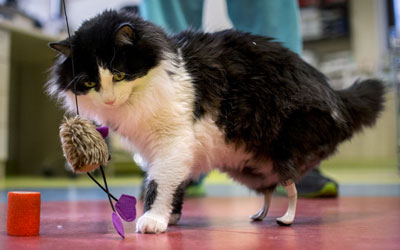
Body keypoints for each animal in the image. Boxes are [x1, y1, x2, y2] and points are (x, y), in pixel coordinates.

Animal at [46, 9, 384, 232]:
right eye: (90, 83)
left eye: (118, 75)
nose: (109, 100)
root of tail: (336, 95)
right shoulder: (158, 151)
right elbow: (172, 183)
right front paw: (172, 216)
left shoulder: (173, 143)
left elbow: (159, 182)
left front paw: (153, 220)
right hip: (251, 167)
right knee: (268, 190)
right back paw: (259, 215)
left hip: (283, 150)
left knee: (291, 190)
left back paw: (286, 219)